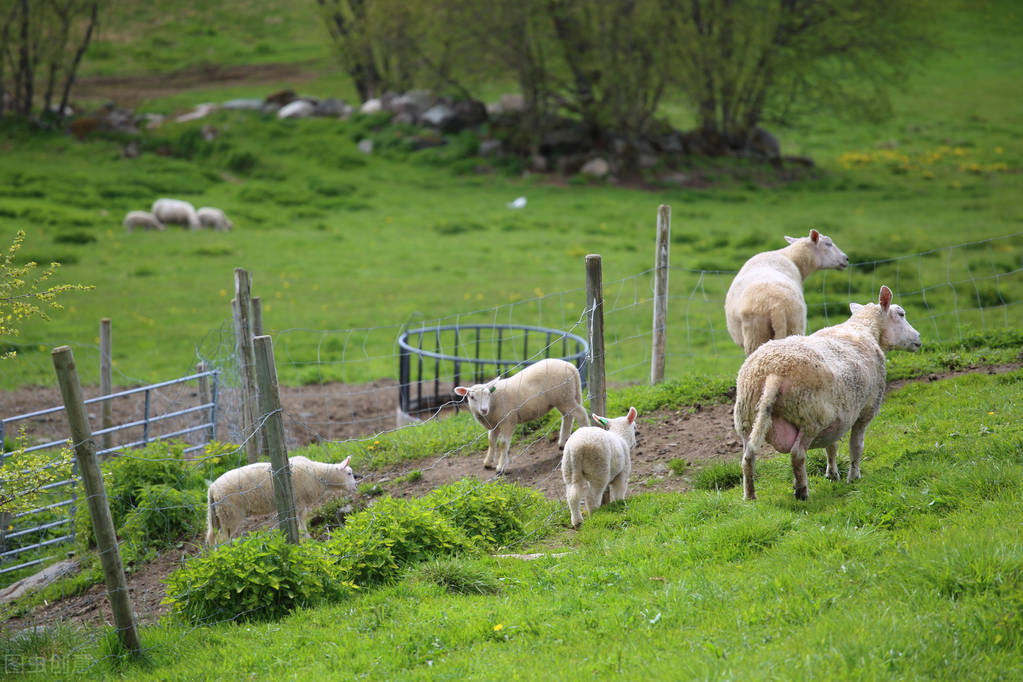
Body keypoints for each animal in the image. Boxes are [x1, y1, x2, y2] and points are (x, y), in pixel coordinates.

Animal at [203, 456, 356, 548]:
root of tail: (212, 489)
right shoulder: (299, 502)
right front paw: (307, 539)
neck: (317, 474)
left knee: (213, 537)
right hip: (231, 513)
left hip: (216, 514)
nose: (355, 487)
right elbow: (302, 521)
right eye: (349, 473)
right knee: (223, 538)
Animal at [458, 357, 593, 474]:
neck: (493, 403)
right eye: (471, 397)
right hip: (563, 398)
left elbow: (503, 444)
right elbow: (491, 441)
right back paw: (562, 443)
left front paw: (501, 467)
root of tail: (570, 366)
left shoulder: (508, 420)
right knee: (567, 416)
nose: (484, 409)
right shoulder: (494, 424)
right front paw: (487, 462)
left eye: (488, 394)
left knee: (581, 414)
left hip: (564, 397)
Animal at [724, 229, 851, 357]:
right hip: (788, 326)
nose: (846, 258)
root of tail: (776, 306)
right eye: (828, 243)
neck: (790, 257)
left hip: (762, 332)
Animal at [732, 284, 924, 501]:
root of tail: (774, 372)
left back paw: (750, 496)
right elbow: (856, 446)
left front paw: (832, 475)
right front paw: (853, 477)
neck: (864, 329)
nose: (918, 338)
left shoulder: (837, 419)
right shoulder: (866, 410)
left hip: (746, 419)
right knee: (797, 454)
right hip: (810, 416)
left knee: (747, 457)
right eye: (901, 314)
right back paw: (802, 491)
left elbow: (831, 446)